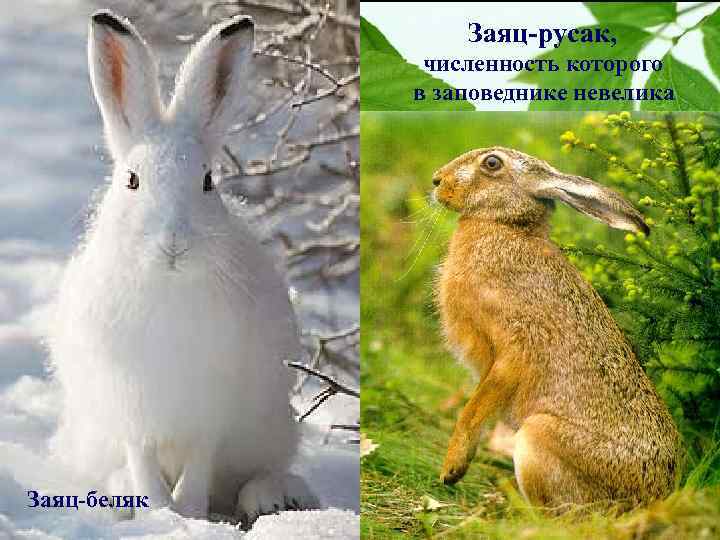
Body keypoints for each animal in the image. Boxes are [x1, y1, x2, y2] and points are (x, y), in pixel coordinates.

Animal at [48, 10, 317, 523]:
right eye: (131, 180)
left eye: (208, 180)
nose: (174, 242)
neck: (167, 284)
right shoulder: (132, 408)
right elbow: (142, 459)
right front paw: (157, 512)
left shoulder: (208, 411)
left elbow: (199, 462)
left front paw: (188, 512)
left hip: (270, 428)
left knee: (258, 472)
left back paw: (274, 497)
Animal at [431, 147, 682, 509]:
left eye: (492, 163)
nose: (437, 181)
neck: (507, 227)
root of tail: (651, 500)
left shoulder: (514, 345)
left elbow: (473, 409)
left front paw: (452, 469)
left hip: (537, 438)